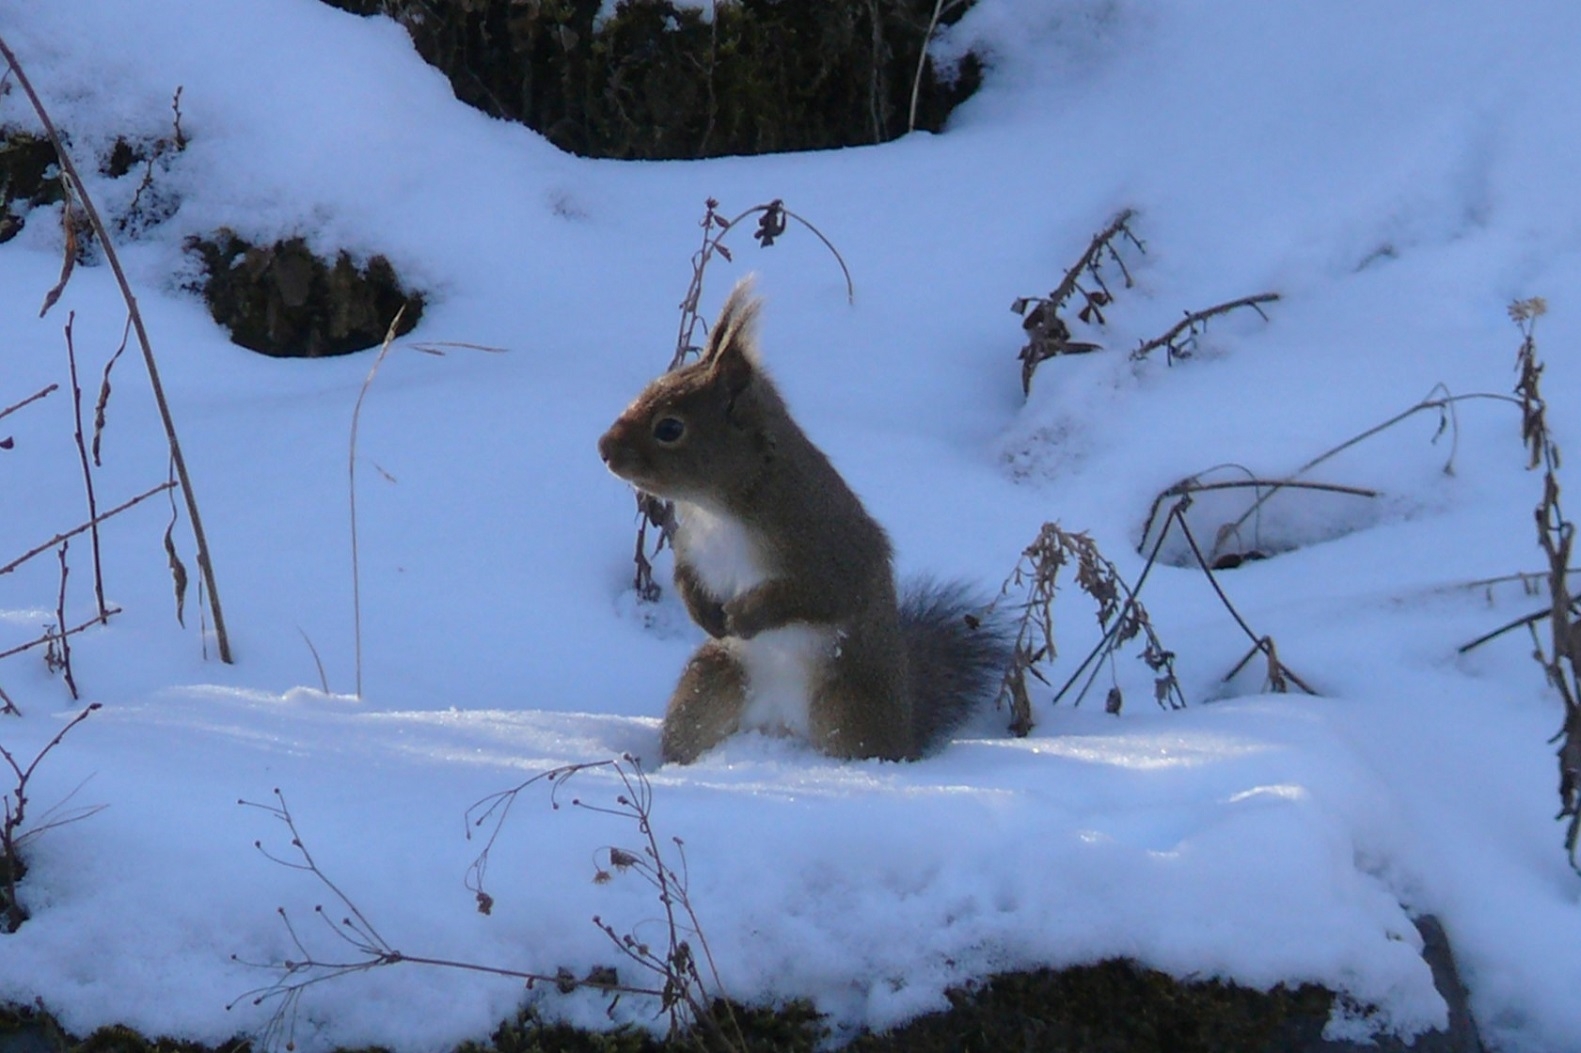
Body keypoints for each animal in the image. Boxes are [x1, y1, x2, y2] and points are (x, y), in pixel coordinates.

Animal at [597, 278, 1005, 762]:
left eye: (670, 428)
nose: (604, 448)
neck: (720, 505)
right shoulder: (692, 544)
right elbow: (684, 577)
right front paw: (707, 615)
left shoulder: (825, 545)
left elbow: (814, 594)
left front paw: (744, 617)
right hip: (708, 687)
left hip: (848, 710)